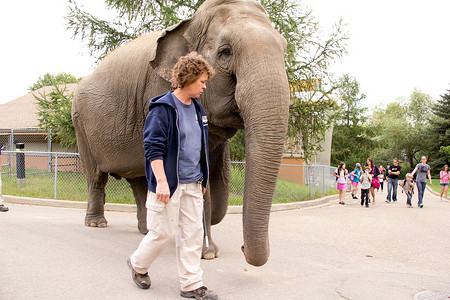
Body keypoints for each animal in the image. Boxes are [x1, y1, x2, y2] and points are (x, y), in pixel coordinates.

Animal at [70, 0, 288, 268]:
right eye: (225, 52)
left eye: (284, 49)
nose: (243, 246)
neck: (190, 25)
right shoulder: (159, 91)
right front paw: (208, 253)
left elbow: (216, 180)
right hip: (80, 124)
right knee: (96, 177)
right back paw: (96, 223)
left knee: (139, 179)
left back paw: (146, 230)